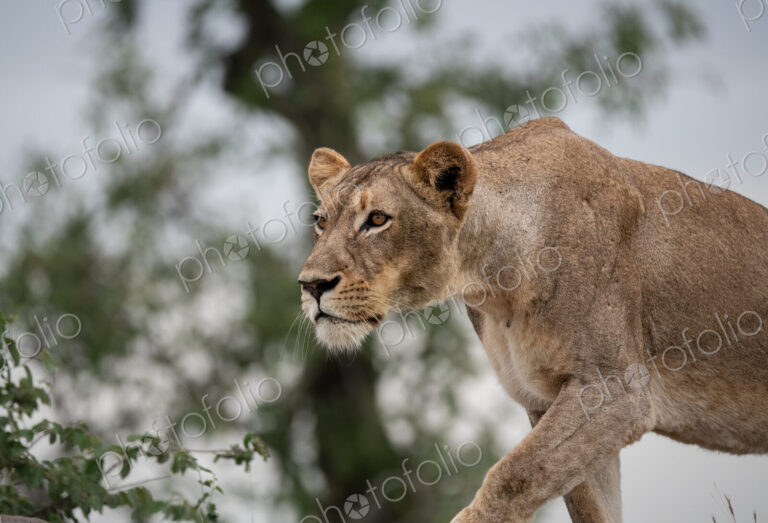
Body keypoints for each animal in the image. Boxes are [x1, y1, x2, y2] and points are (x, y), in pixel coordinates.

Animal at [298, 117, 768, 522]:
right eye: (320, 222)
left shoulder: (615, 390)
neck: (494, 279)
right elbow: (586, 505)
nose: (311, 285)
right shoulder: (544, 401)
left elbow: (513, 477)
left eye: (377, 219)